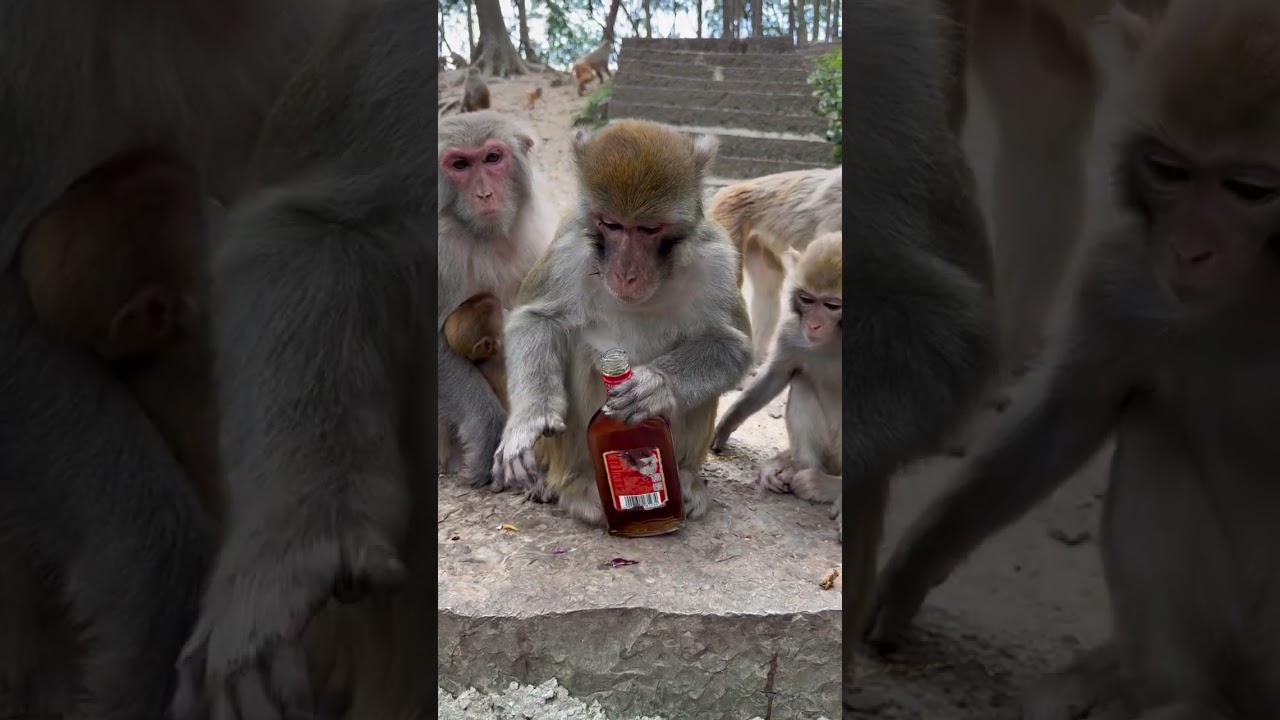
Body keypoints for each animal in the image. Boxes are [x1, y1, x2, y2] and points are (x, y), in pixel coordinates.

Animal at [492, 119, 753, 528]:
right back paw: (578, 488)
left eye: (649, 229)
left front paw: (654, 385)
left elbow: (731, 344)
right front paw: (530, 419)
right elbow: (538, 320)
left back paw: (686, 480)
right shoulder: (569, 247)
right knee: (578, 350)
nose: (626, 274)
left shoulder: (717, 257)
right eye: (611, 224)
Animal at [710, 233, 842, 536]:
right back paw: (798, 468)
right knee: (803, 383)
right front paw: (724, 426)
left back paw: (827, 487)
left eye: (832, 305)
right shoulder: (793, 330)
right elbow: (775, 376)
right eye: (807, 300)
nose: (814, 325)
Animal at [866, 2, 1280, 717]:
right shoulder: (1124, 278)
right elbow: (1066, 420)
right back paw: (1169, 693)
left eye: (1250, 189)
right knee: (1156, 425)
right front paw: (908, 575)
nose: (1188, 249)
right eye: (1169, 171)